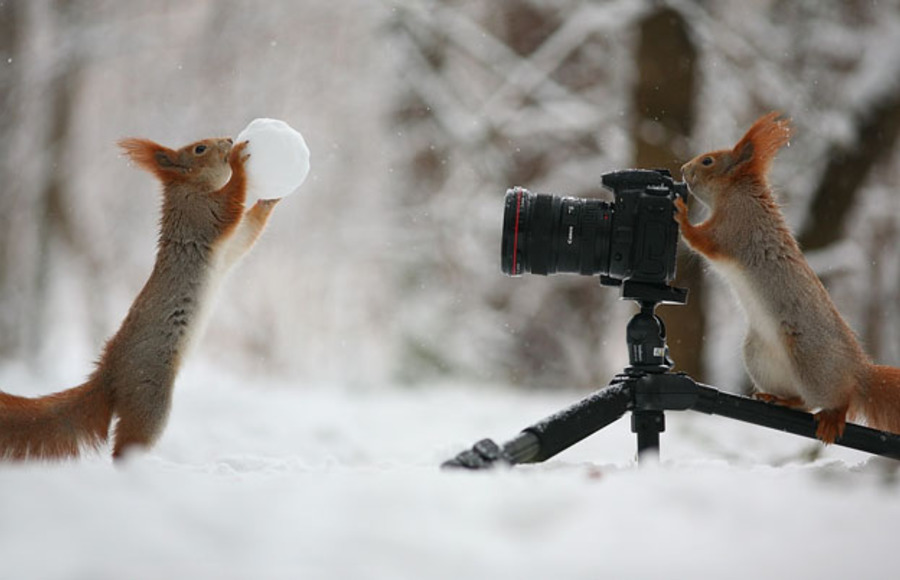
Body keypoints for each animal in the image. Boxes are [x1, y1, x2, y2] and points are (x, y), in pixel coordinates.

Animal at [0, 136, 278, 462]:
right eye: (199, 149)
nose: (228, 140)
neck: (190, 188)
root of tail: (109, 375)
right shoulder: (203, 215)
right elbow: (232, 202)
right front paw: (237, 162)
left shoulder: (227, 249)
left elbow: (247, 232)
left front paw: (270, 200)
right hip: (149, 395)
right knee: (128, 445)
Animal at [676, 111, 900, 442]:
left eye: (708, 161)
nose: (682, 170)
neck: (735, 193)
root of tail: (859, 370)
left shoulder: (735, 227)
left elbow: (703, 240)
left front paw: (680, 214)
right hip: (758, 355)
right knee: (802, 402)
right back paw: (779, 398)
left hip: (811, 362)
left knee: (836, 398)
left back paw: (834, 415)